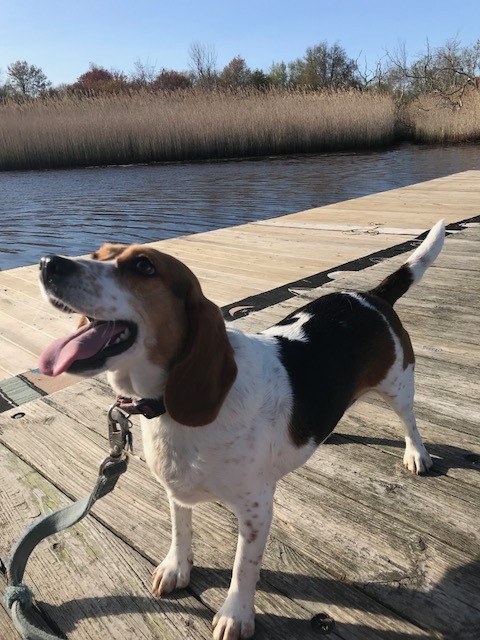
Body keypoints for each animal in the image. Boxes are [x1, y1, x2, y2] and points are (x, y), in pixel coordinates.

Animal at [38, 220, 446, 640]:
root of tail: (370, 296)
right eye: (97, 254)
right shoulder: (176, 492)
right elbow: (180, 531)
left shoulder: (256, 510)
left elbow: (242, 568)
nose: (50, 263)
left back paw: (416, 454)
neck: (167, 410)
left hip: (399, 385)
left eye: (144, 266)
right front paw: (177, 568)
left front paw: (236, 615)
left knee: (410, 421)